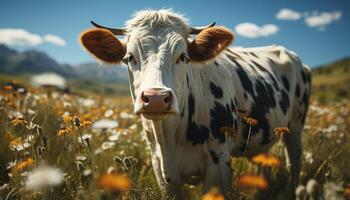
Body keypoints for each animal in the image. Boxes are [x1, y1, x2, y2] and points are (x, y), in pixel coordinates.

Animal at [80, 9, 312, 198]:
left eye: (183, 56)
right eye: (130, 57)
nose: (156, 98)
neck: (170, 138)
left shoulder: (219, 163)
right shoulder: (161, 170)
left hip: (296, 126)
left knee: (294, 162)